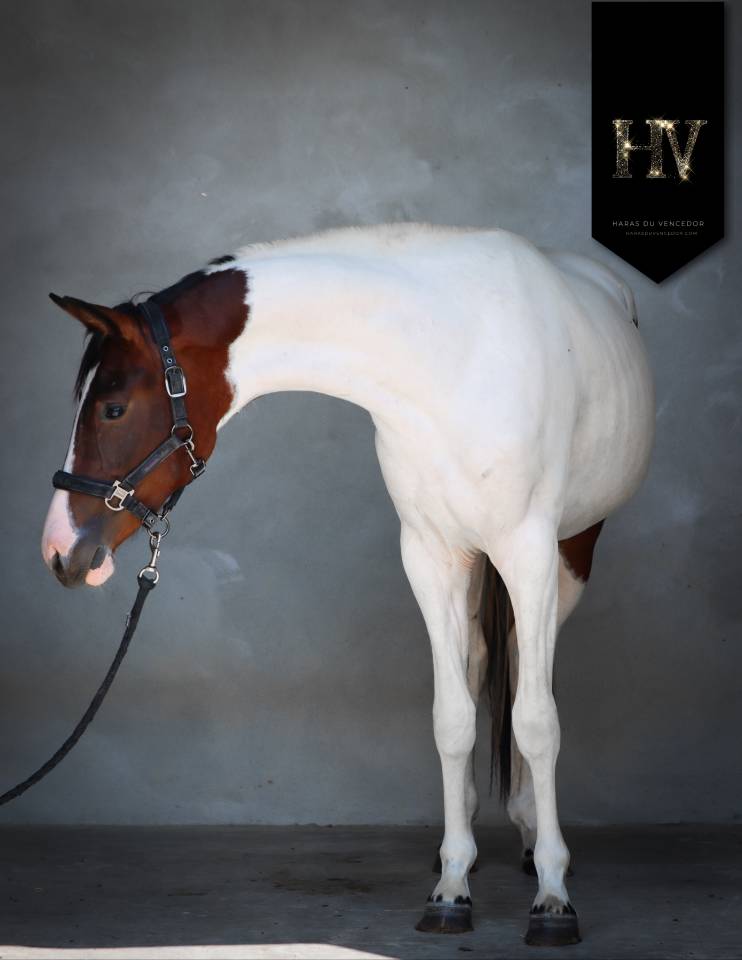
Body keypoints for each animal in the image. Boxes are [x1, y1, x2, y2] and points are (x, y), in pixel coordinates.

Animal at [41, 223, 654, 945]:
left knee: (534, 673)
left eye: (112, 408)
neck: (451, 356)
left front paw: (554, 897)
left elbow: (535, 719)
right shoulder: (430, 555)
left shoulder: (528, 549)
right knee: (480, 666)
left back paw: (535, 840)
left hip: (567, 554)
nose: (60, 551)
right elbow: (452, 719)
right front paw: (452, 885)